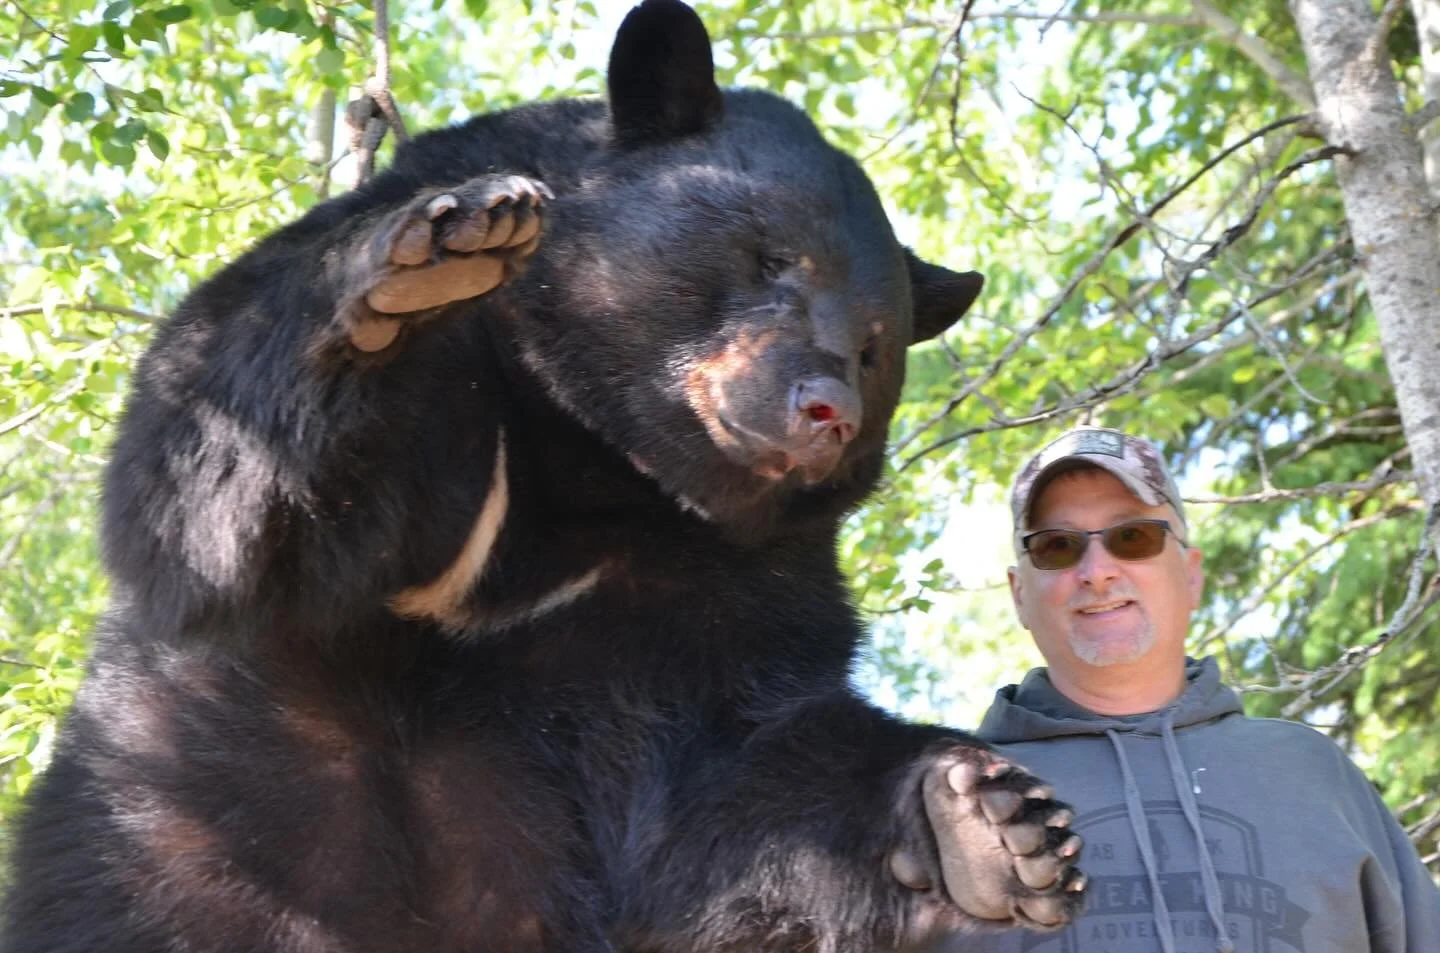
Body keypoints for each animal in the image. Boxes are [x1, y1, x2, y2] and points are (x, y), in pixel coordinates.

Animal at [1, 2, 1084, 951]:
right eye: (773, 258)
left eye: (874, 347)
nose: (826, 411)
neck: (606, 470)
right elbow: (230, 500)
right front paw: (430, 256)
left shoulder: (724, 586)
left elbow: (736, 774)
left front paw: (985, 824)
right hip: (174, 833)